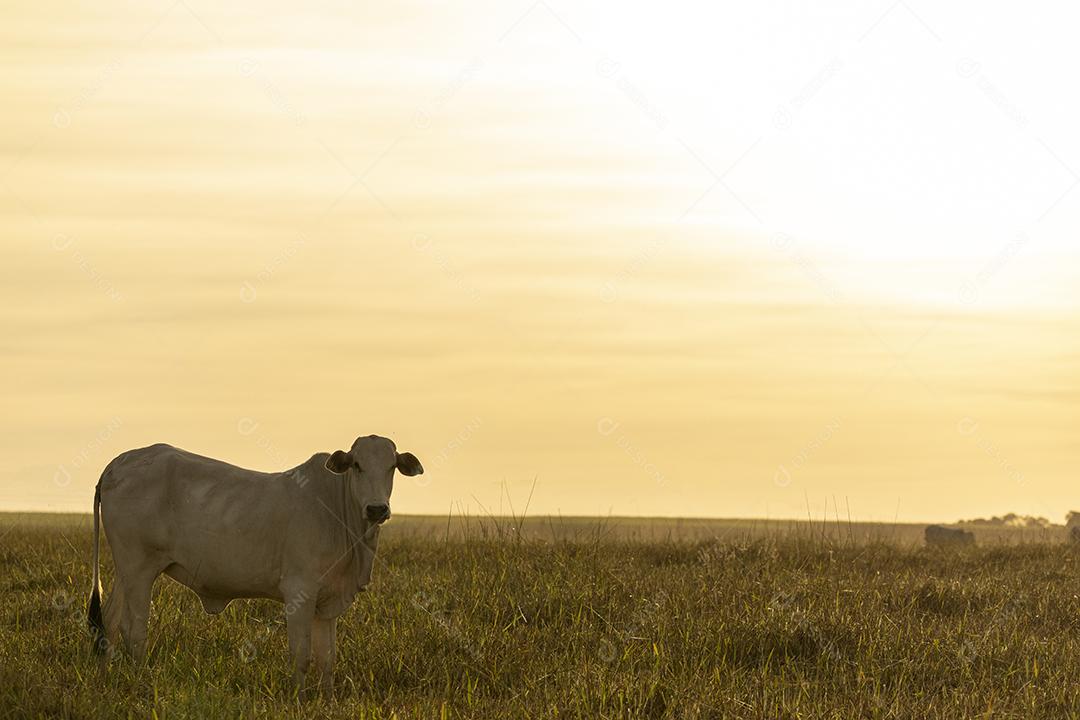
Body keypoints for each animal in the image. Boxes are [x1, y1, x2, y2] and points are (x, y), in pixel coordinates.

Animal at [87, 433, 421, 699]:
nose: (377, 509)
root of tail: (119, 462)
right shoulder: (300, 592)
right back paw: (138, 684)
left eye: (391, 466)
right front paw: (299, 701)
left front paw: (327, 701)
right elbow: (302, 655)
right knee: (134, 631)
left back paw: (105, 681)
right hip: (139, 569)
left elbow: (327, 659)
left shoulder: (328, 603)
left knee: (110, 622)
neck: (338, 511)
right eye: (357, 465)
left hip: (126, 571)